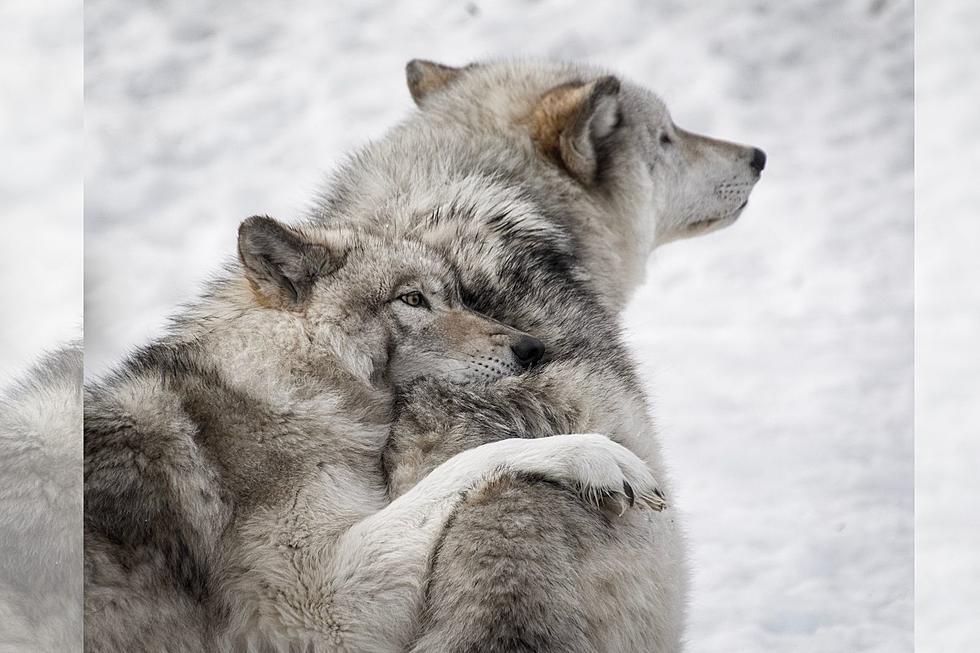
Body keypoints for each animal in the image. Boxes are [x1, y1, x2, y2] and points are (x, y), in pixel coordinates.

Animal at [86, 216, 668, 648]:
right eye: (412, 300)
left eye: (458, 296)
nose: (532, 349)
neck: (282, 386)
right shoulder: (321, 612)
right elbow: (476, 459)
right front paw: (597, 456)